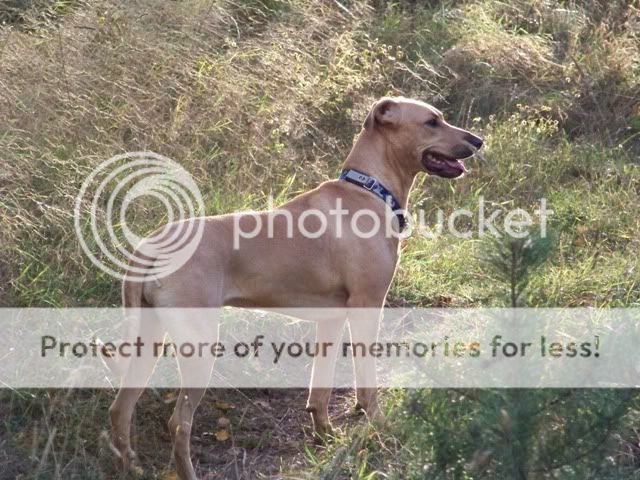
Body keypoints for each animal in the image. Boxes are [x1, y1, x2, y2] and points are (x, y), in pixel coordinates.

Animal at [105, 96, 482, 479]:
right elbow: (367, 382)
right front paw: (378, 424)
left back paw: (129, 466)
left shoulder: (332, 319)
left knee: (120, 409)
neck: (368, 189)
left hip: (150, 338)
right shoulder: (368, 306)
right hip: (197, 345)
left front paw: (326, 434)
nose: (478, 140)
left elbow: (320, 388)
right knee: (178, 423)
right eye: (432, 122)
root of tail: (151, 244)